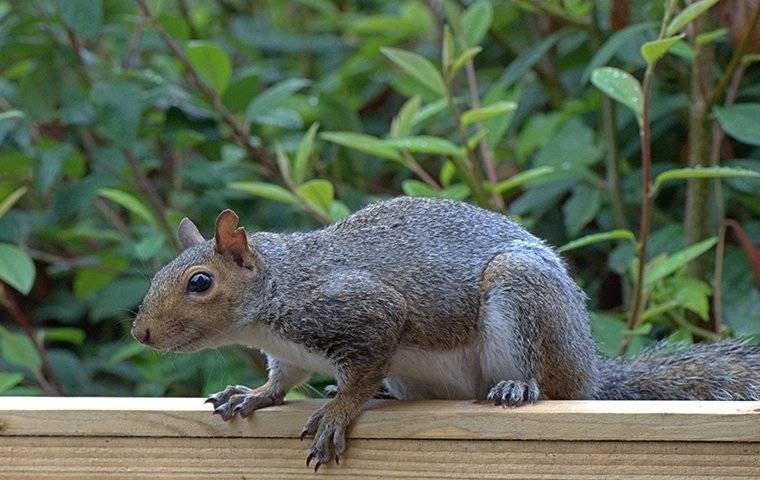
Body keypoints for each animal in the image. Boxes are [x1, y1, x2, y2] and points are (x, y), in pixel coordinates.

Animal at [135, 197, 760, 470]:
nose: (141, 332)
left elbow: (364, 369)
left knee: (554, 385)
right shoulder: (291, 352)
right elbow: (282, 380)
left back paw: (519, 388)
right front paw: (253, 395)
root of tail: (590, 369)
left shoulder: (363, 311)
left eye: (199, 282)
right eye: (158, 274)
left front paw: (337, 413)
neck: (276, 291)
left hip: (524, 298)